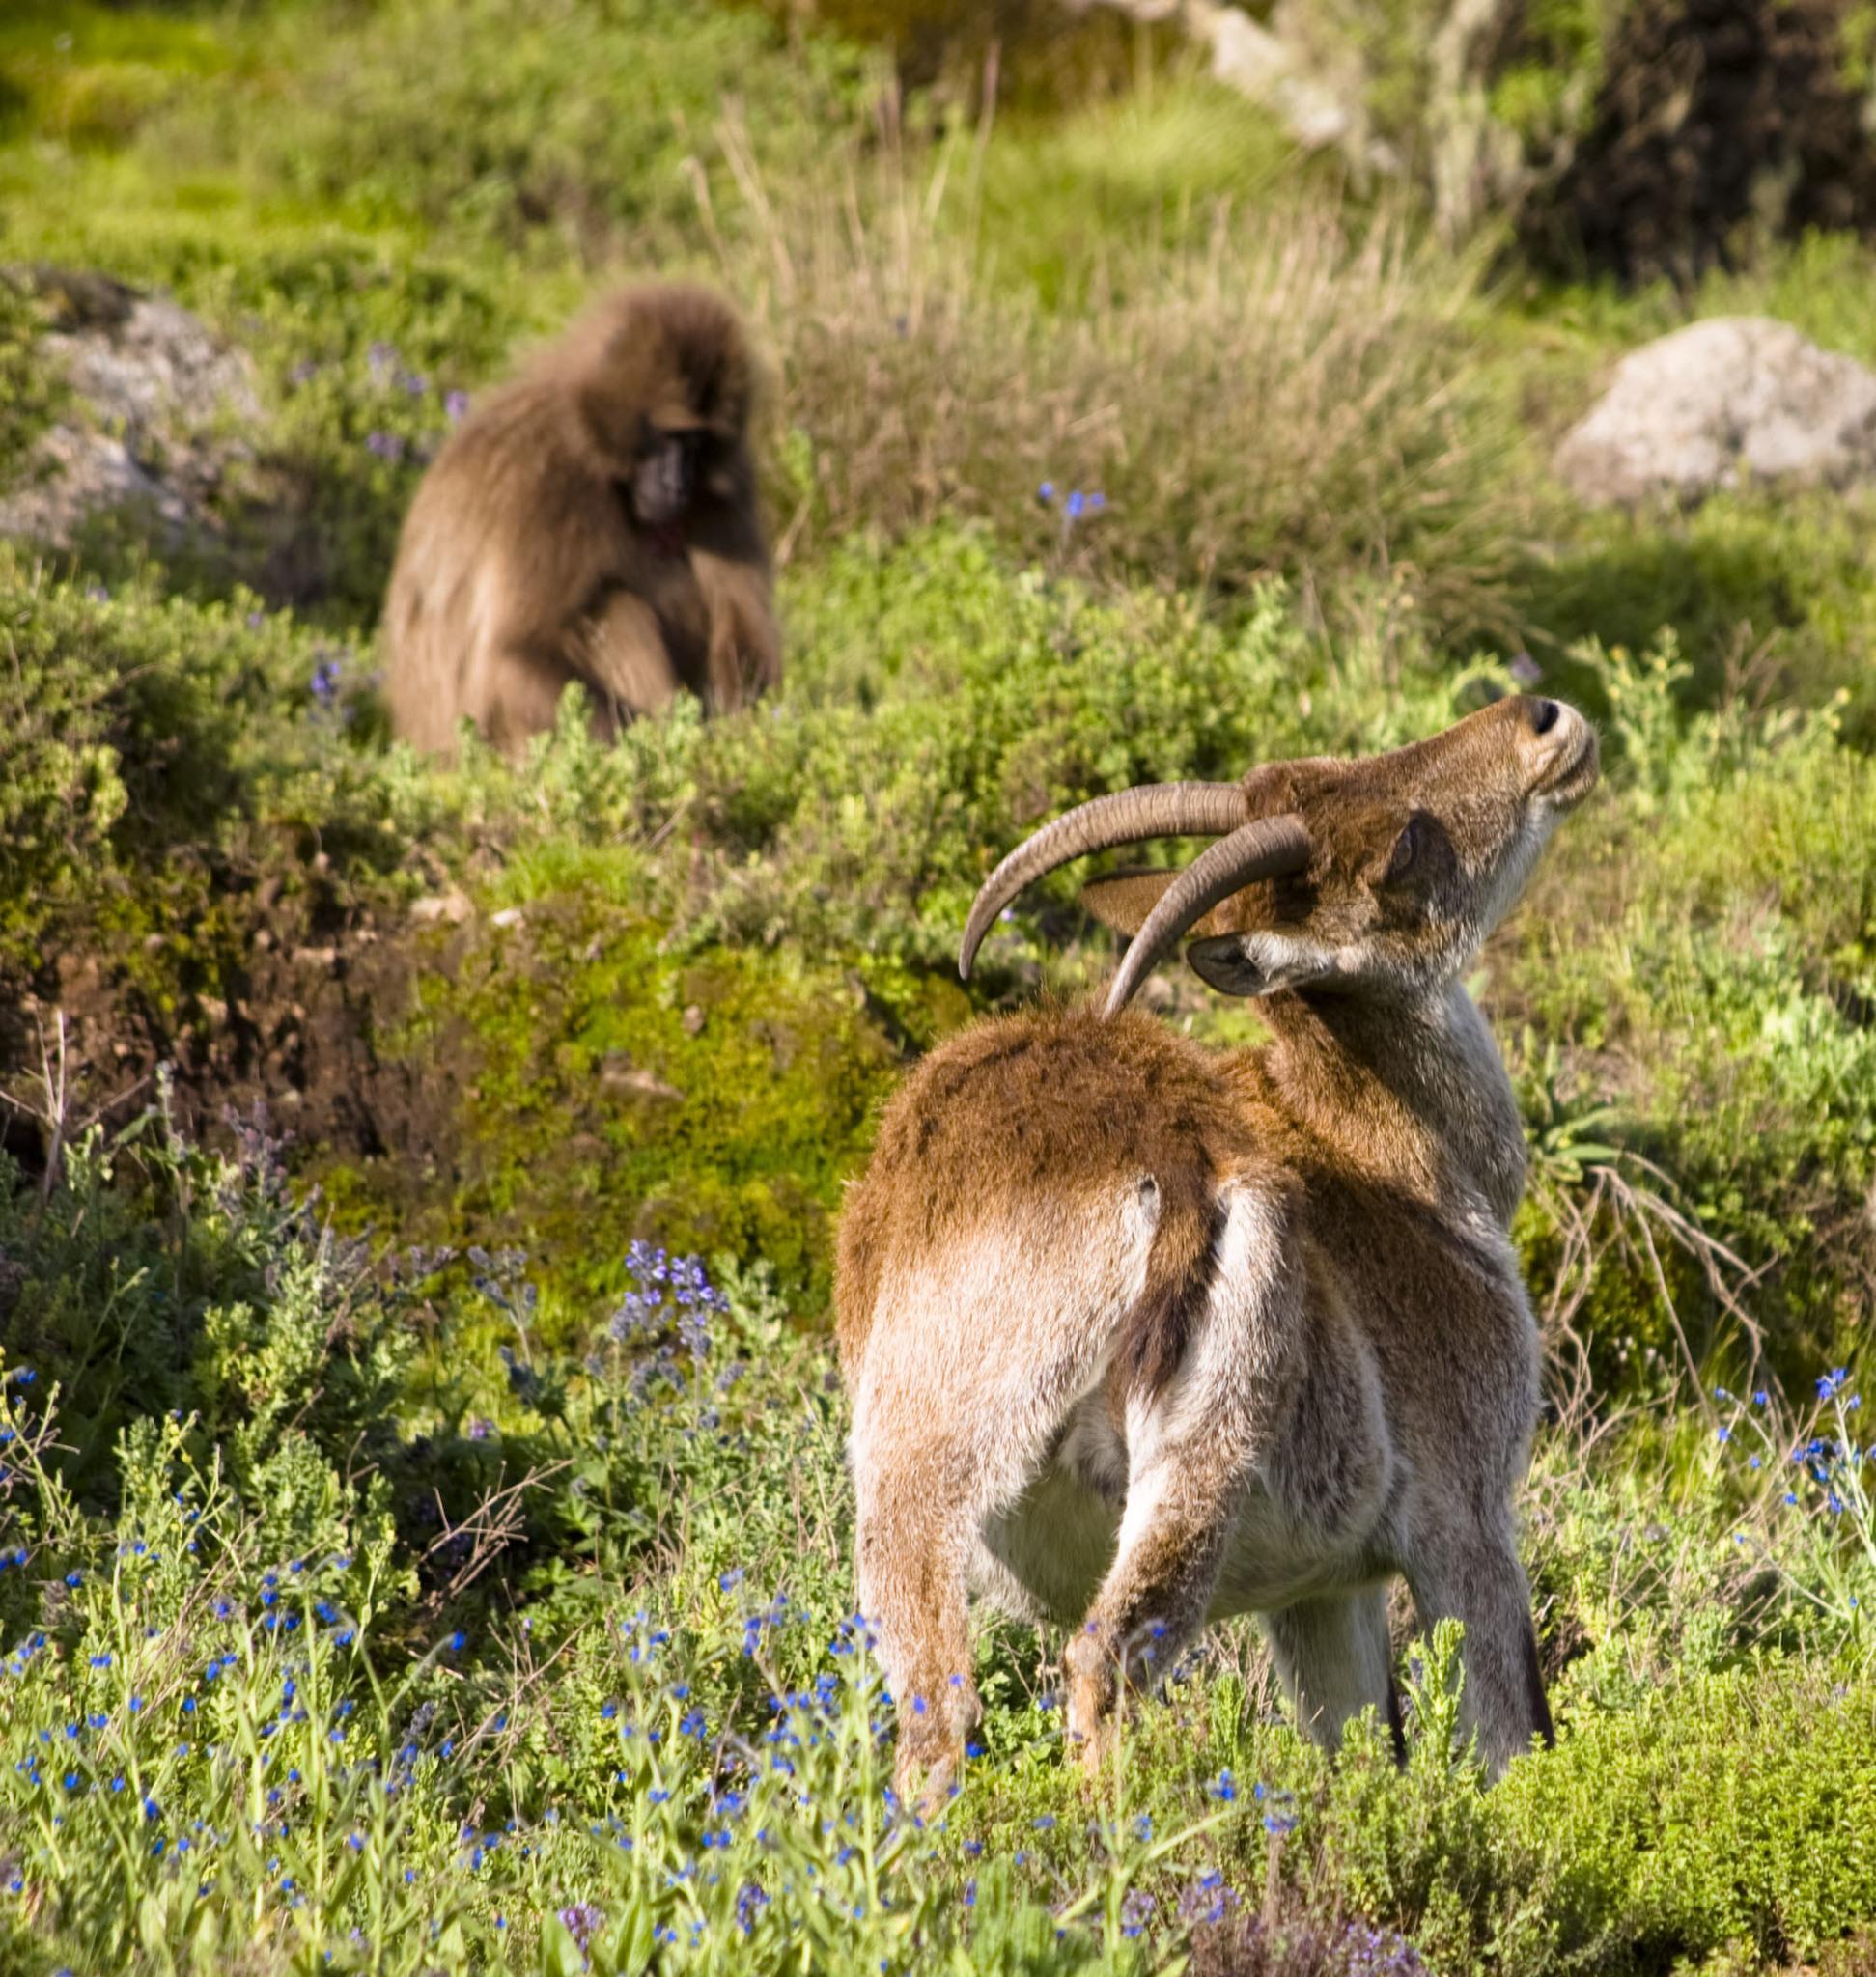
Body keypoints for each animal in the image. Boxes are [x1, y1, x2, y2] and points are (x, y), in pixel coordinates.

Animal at [834, 694, 1599, 1798]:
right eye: (1402, 846)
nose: (1545, 720)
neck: (1400, 1163)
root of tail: (1166, 1167)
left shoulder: (1320, 1592)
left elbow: (1357, 1748)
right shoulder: (1464, 1520)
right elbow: (1508, 1738)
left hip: (921, 1475)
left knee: (936, 1708)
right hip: (1192, 1458)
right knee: (1103, 1660)